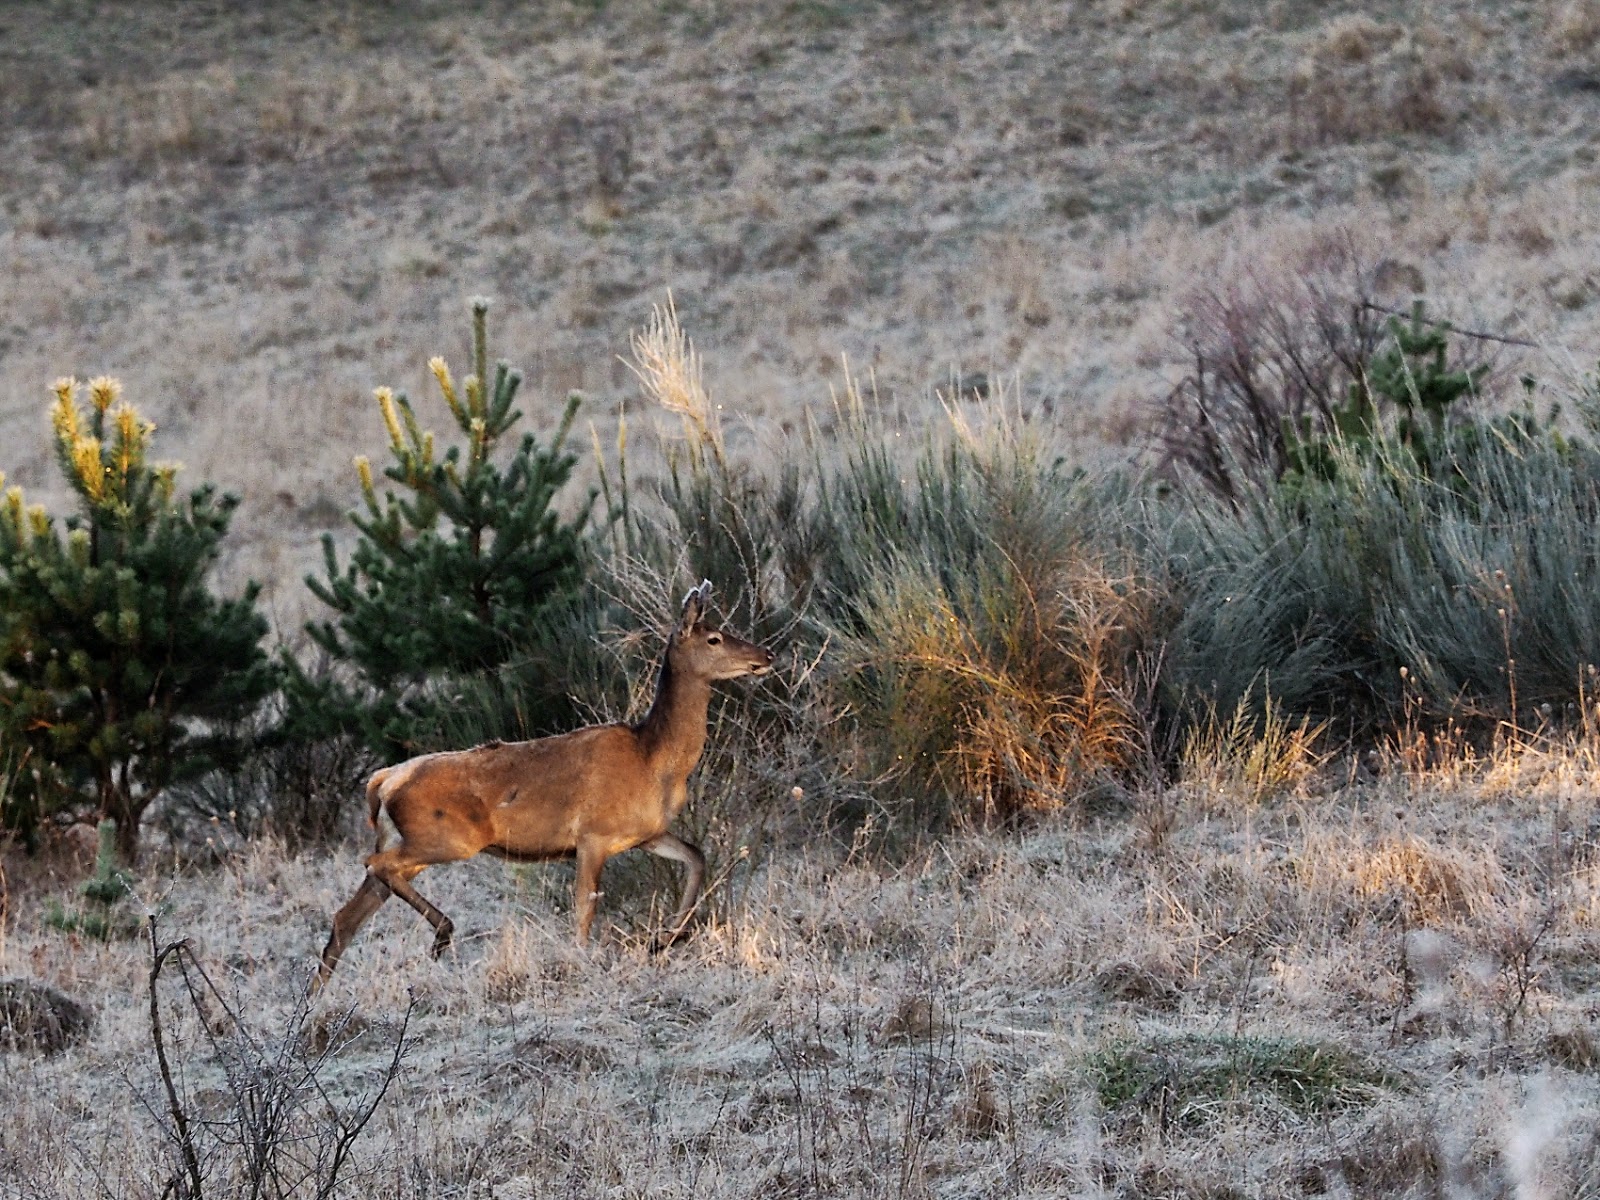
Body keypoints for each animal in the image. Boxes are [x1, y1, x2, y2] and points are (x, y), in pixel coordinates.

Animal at [315, 582, 774, 986]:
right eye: (714, 638)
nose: (765, 654)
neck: (654, 760)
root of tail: (383, 780)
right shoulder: (593, 834)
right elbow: (584, 909)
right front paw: (584, 961)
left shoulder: (645, 833)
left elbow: (696, 856)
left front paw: (665, 939)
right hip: (447, 837)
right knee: (374, 867)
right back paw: (442, 934)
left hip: (407, 839)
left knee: (346, 916)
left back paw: (317, 1001)